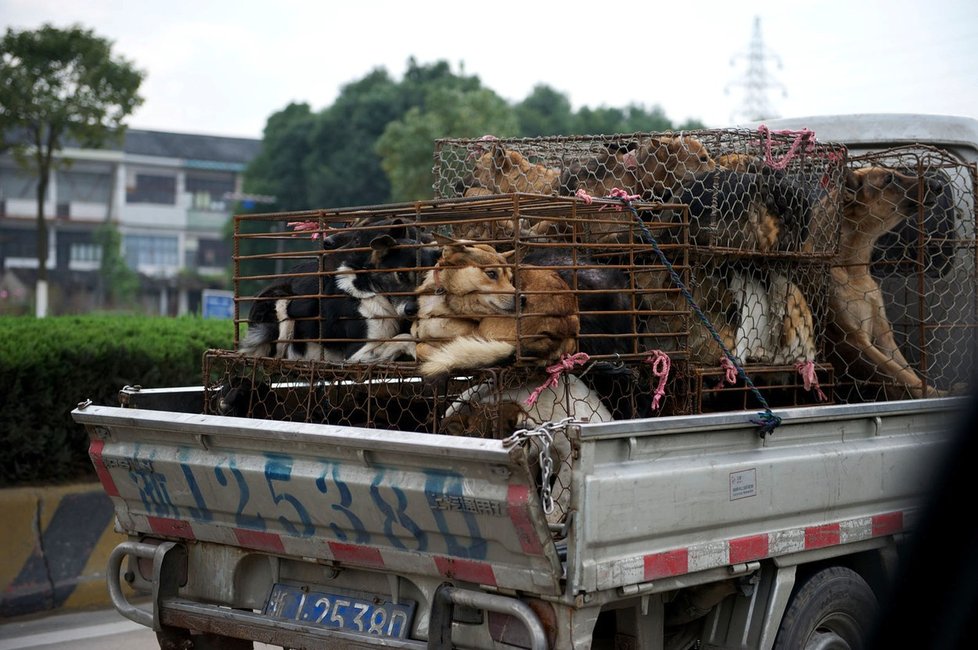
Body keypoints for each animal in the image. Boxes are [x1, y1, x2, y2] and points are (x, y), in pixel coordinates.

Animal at [238, 220, 432, 364]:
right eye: (400, 274)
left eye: (425, 278)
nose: (412, 310)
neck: (374, 290)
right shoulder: (356, 354)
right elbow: (404, 337)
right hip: (281, 302)